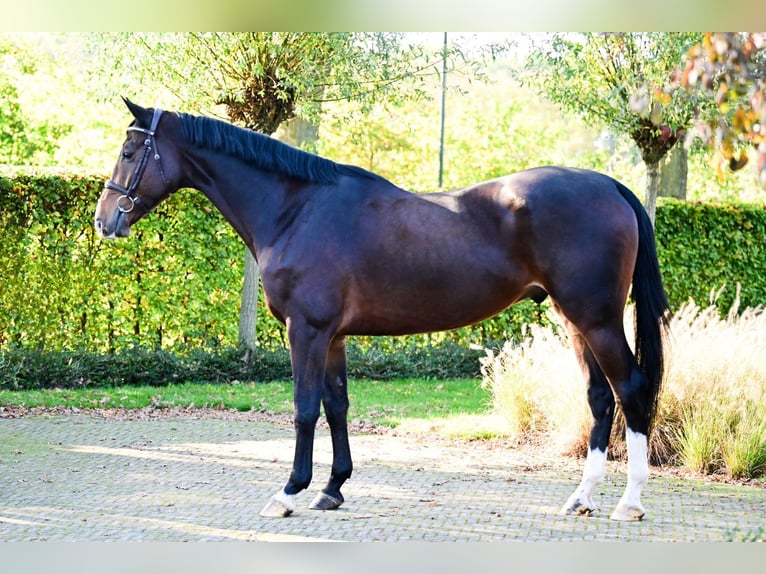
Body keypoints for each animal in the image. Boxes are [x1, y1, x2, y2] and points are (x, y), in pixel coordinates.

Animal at [94, 99, 672, 520]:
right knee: (600, 398)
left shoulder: (306, 331)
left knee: (631, 388)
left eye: (130, 150)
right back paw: (582, 498)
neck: (296, 209)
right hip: (575, 320)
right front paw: (332, 489)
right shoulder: (332, 336)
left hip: (597, 319)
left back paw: (630, 502)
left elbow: (304, 409)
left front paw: (289, 492)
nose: (105, 219)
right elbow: (336, 405)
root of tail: (610, 185)